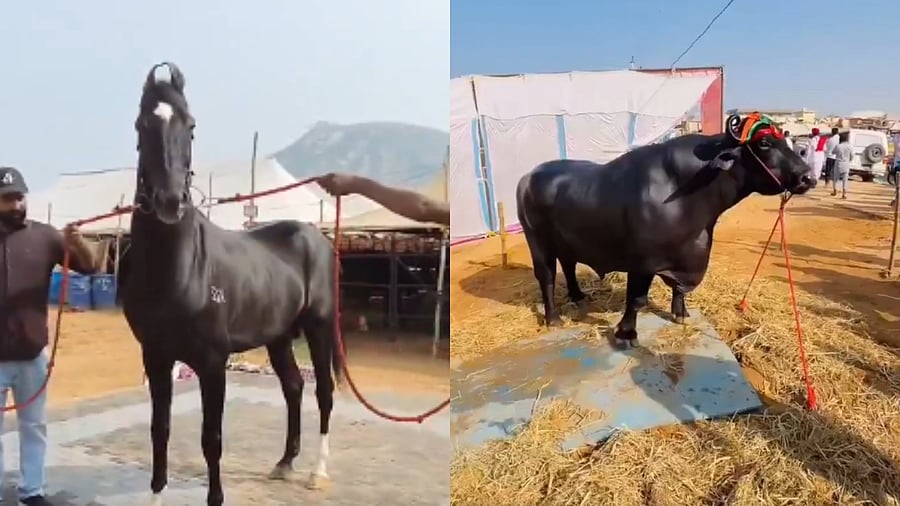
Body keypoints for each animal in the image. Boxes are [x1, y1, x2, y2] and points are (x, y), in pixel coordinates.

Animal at [122, 62, 342, 506]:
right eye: (141, 124)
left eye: (190, 126)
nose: (170, 202)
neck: (178, 273)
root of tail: (316, 237)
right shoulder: (156, 357)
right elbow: (159, 432)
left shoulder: (212, 363)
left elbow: (212, 439)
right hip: (279, 336)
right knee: (294, 387)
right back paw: (284, 463)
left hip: (319, 327)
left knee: (323, 391)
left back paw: (317, 472)